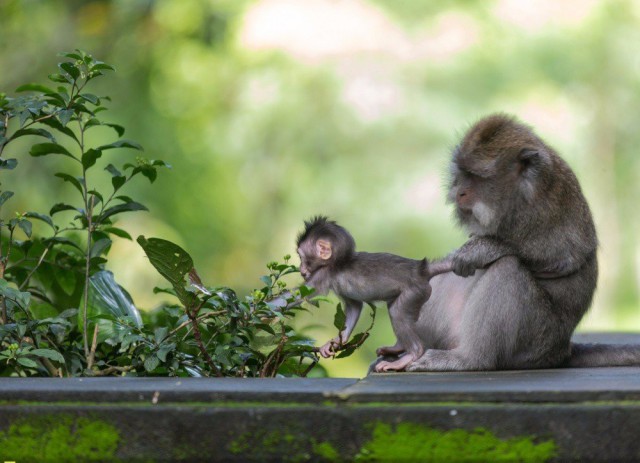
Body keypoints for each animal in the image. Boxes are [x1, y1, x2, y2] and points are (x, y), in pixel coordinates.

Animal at [296, 218, 450, 374]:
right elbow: (354, 306)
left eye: (301, 257)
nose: (301, 270)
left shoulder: (323, 274)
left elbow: (300, 295)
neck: (340, 261)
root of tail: (421, 270)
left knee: (397, 312)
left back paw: (410, 355)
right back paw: (398, 347)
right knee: (394, 308)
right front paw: (337, 341)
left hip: (414, 291)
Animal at [382, 115, 636, 374]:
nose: (459, 191)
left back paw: (469, 359)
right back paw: (405, 350)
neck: (520, 195)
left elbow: (562, 259)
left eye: (476, 177)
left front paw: (482, 249)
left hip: (536, 341)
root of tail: (562, 350)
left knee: (507, 269)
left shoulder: (545, 209)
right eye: (462, 173)